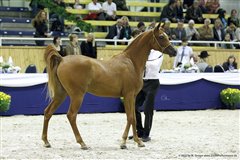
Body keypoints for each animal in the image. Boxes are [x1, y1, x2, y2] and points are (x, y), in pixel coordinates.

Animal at [41, 23, 176, 149]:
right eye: (161, 36)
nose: (174, 51)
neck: (131, 62)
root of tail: (62, 59)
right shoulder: (128, 95)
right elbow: (130, 117)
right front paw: (123, 142)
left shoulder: (132, 97)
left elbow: (133, 117)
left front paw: (138, 141)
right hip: (77, 96)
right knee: (71, 115)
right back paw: (82, 143)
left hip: (61, 94)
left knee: (48, 112)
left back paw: (46, 141)